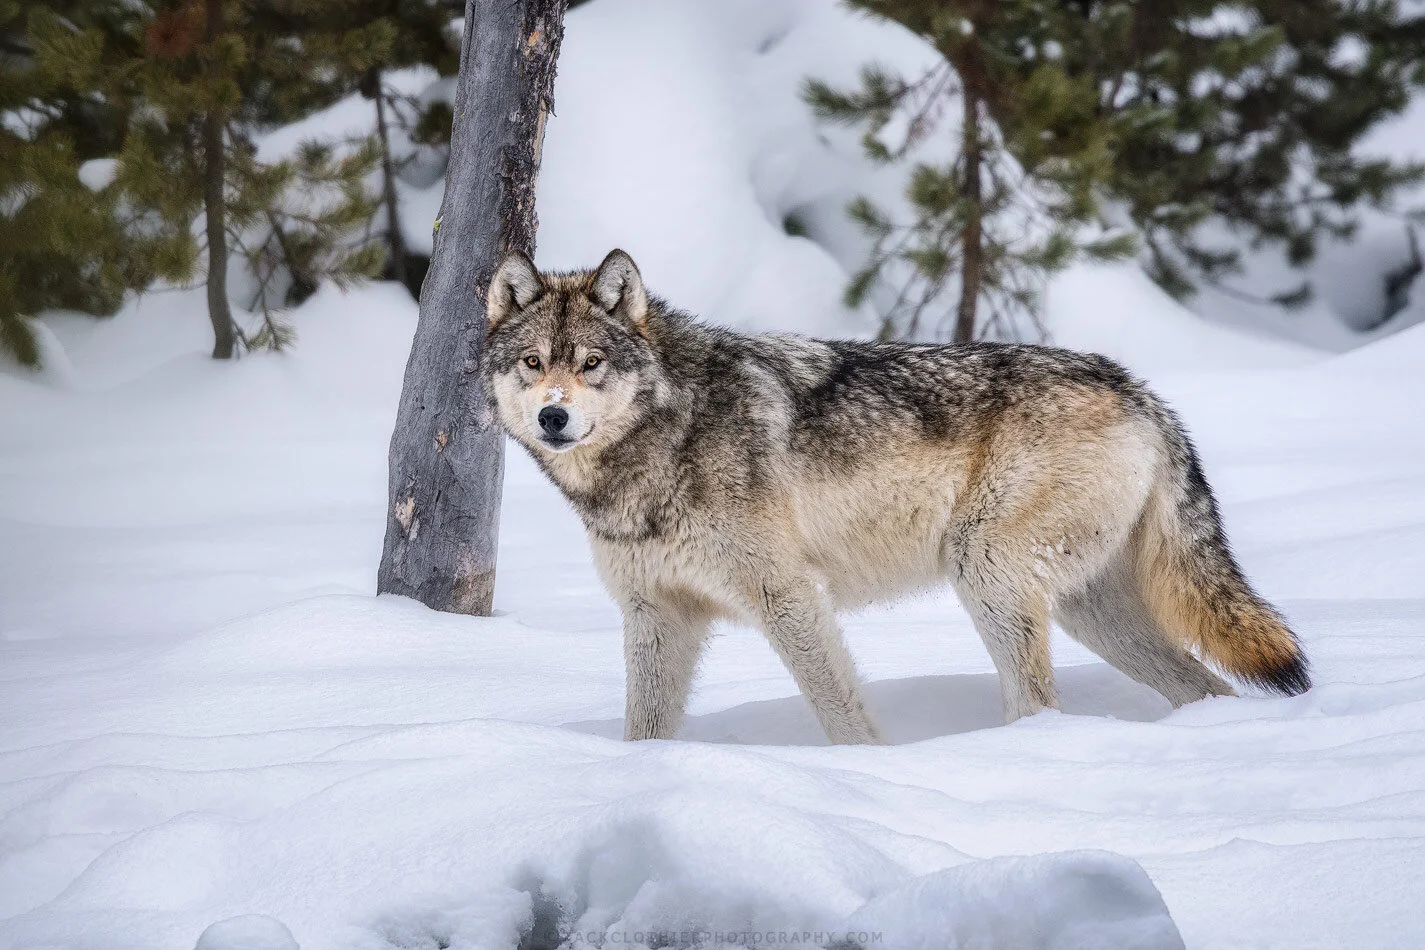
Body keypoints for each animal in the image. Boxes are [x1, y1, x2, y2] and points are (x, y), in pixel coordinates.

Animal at [481, 248, 1310, 744]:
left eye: (591, 364)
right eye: (532, 364)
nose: (554, 417)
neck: (663, 439)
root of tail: (1137, 388)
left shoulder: (787, 595)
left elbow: (838, 708)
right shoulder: (655, 615)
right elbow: (644, 728)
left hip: (985, 572)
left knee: (1038, 704)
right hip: (1088, 609)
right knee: (1202, 685)